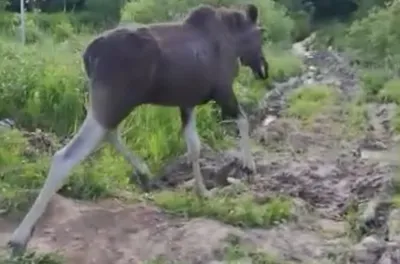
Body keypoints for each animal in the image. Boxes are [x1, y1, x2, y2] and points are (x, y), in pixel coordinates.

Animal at [7, 2, 268, 254]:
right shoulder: (222, 91)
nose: (263, 69)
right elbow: (243, 120)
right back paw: (20, 235)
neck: (233, 41)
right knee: (67, 155)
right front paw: (248, 164)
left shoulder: (187, 102)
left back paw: (143, 172)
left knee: (110, 134)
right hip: (115, 102)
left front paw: (202, 190)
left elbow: (194, 146)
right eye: (261, 34)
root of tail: (88, 56)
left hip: (110, 104)